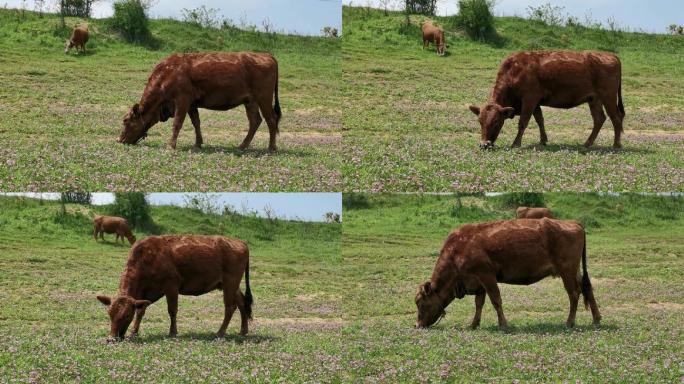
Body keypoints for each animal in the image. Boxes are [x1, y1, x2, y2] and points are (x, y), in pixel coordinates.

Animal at [96, 236, 254, 340]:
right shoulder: (146, 293)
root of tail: (240, 242)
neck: (148, 257)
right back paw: (243, 331)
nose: (111, 339)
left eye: (127, 315)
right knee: (242, 303)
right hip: (231, 285)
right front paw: (134, 332)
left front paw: (172, 332)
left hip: (230, 282)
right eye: (109, 314)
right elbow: (141, 311)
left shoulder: (171, 285)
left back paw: (220, 332)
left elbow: (172, 310)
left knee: (230, 307)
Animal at [116, 50, 282, 152]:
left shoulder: (182, 101)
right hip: (250, 101)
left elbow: (177, 124)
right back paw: (242, 146)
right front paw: (198, 143)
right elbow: (196, 122)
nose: (119, 140)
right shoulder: (191, 104)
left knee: (271, 120)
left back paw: (271, 148)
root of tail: (267, 55)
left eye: (126, 121)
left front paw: (171, 145)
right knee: (255, 121)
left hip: (264, 98)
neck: (167, 74)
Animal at [412, 219, 600, 330]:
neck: (458, 250)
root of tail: (574, 223)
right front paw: (474, 324)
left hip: (566, 271)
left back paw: (570, 322)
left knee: (574, 293)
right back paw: (596, 319)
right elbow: (479, 303)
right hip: (575, 271)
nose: (417, 324)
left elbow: (496, 300)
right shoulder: (478, 282)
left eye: (420, 303)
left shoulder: (486, 276)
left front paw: (503, 324)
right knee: (587, 288)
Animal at [470, 52, 624, 150]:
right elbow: (540, 120)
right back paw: (587, 143)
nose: (484, 145)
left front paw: (516, 143)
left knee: (616, 118)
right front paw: (543, 140)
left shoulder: (529, 99)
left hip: (608, 97)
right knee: (599, 119)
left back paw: (616, 145)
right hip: (594, 99)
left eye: (496, 122)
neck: (514, 71)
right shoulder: (536, 103)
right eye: (480, 121)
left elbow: (523, 123)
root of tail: (612, 56)